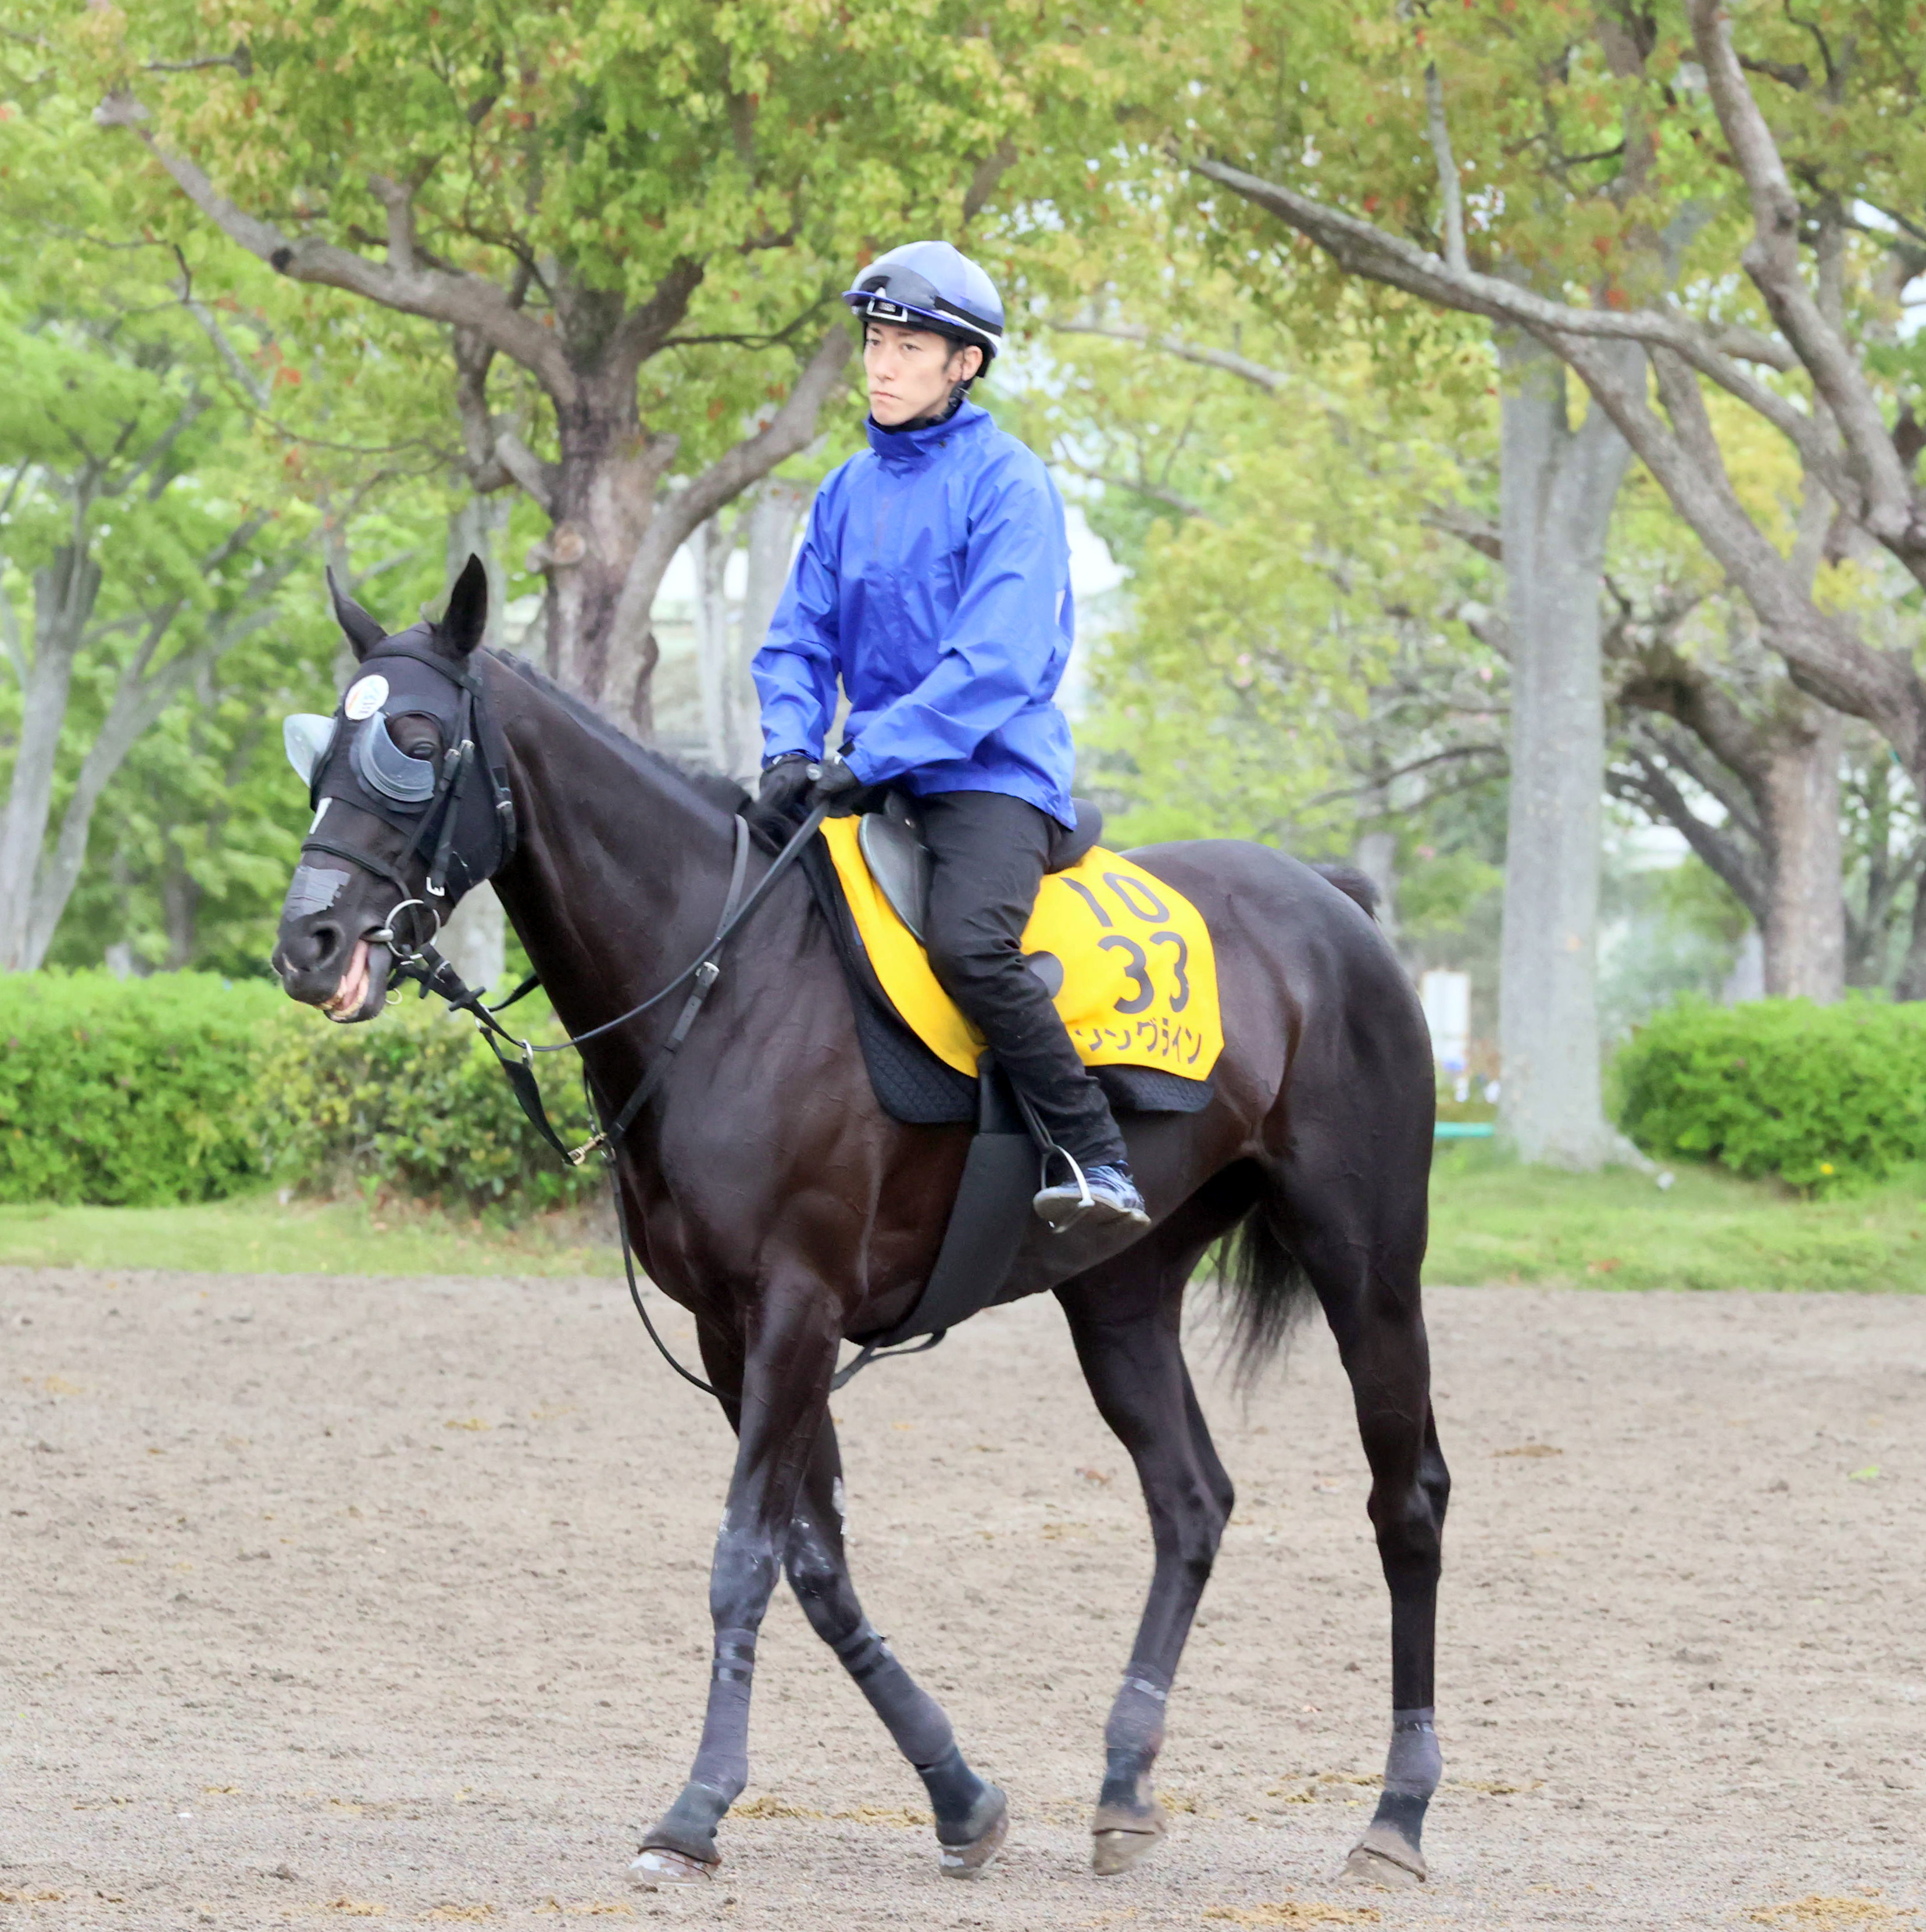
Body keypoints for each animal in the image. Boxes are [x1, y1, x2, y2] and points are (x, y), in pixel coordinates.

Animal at [270, 560, 1445, 1886]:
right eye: (321, 751)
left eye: (416, 742)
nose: (309, 942)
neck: (725, 979)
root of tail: (1332, 905)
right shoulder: (733, 1328)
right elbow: (815, 1562)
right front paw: (961, 1795)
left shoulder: (797, 1306)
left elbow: (744, 1554)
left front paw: (695, 1809)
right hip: (1119, 1293)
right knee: (1190, 1501)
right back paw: (1125, 1785)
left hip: (1366, 1263)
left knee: (1406, 1501)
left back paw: (1396, 1814)